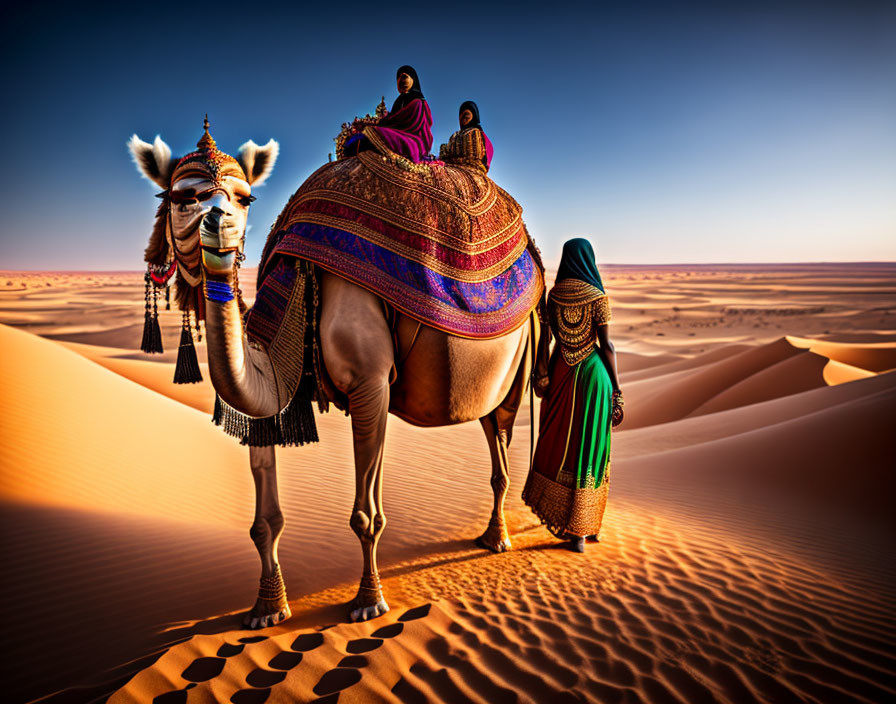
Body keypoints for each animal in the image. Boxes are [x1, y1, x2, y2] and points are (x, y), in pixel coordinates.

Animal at [126, 121, 544, 628]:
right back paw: (490, 536)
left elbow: (367, 514)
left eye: (244, 198)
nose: (219, 221)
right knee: (490, 431)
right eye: (183, 196)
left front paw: (368, 602)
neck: (300, 280)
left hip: (521, 353)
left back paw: (498, 539)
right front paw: (268, 608)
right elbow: (265, 514)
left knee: (501, 433)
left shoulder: (370, 383)